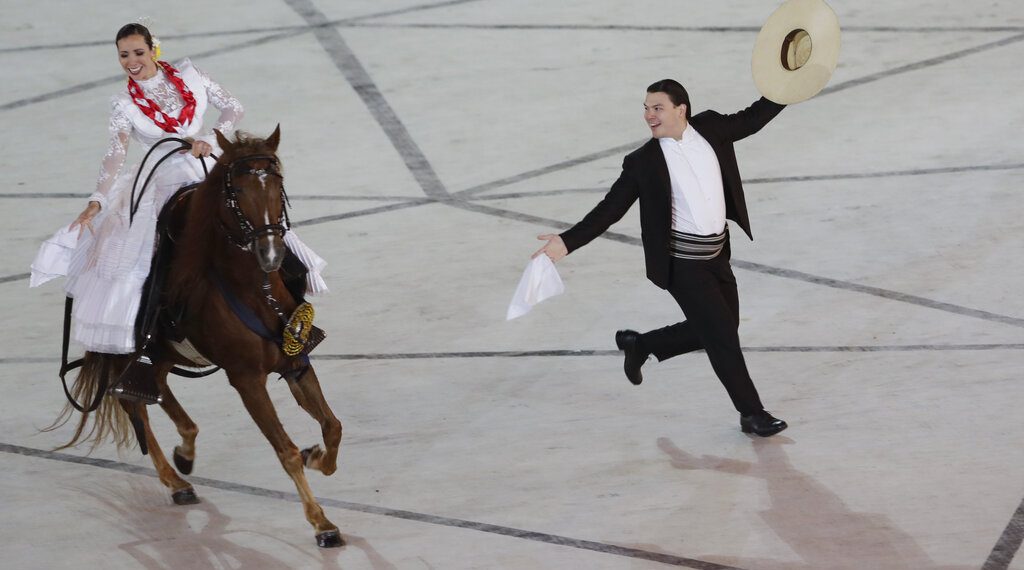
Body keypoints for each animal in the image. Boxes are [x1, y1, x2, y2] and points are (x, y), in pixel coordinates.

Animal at [50, 127, 344, 548]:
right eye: (236, 192)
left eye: (278, 184)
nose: (270, 253)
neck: (254, 291)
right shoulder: (246, 379)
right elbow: (284, 450)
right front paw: (321, 523)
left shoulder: (295, 363)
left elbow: (332, 427)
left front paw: (316, 456)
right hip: (127, 354)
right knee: (132, 402)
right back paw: (175, 481)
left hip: (164, 354)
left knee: (156, 390)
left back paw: (184, 456)